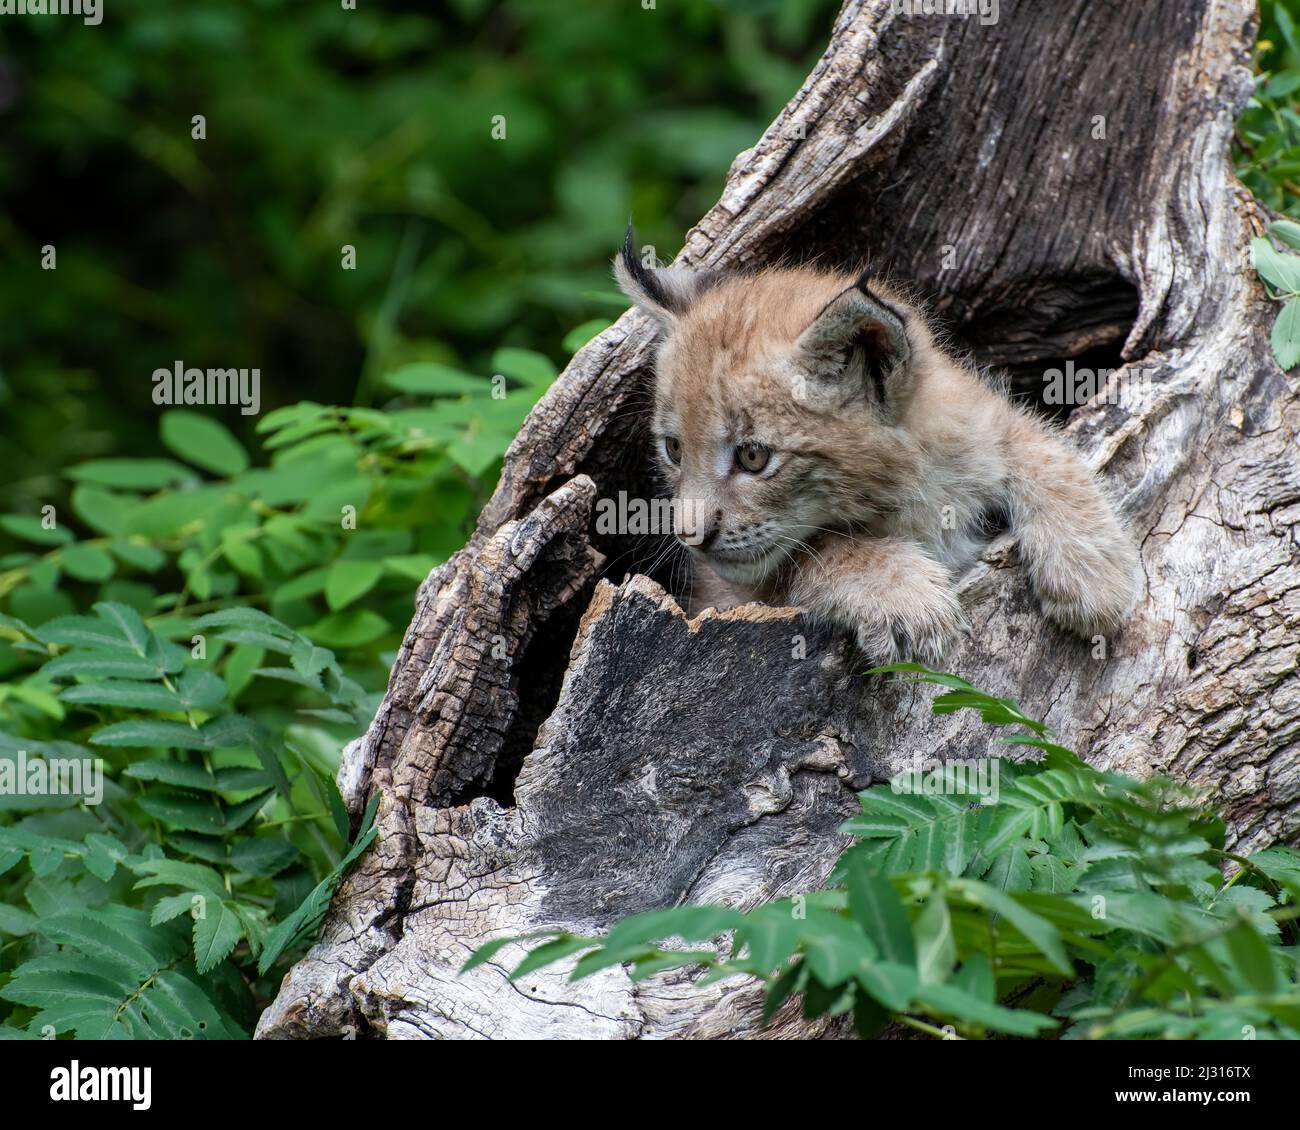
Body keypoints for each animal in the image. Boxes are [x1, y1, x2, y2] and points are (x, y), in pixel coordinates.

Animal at [616, 235, 1138, 660]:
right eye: (674, 449)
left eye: (753, 456)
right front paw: (904, 597)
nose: (690, 537)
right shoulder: (729, 597)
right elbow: (815, 550)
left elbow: (1042, 449)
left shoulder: (981, 419)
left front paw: (1095, 576)